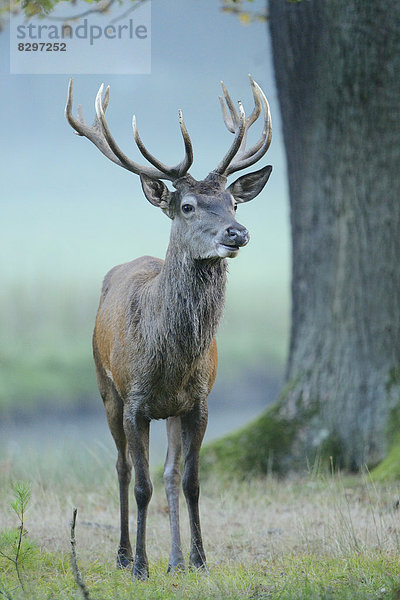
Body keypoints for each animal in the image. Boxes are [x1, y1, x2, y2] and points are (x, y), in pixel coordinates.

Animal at [65, 77, 272, 580]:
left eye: (233, 202)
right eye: (188, 205)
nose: (237, 233)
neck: (170, 361)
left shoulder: (198, 401)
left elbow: (191, 481)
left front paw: (199, 559)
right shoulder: (135, 400)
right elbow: (141, 485)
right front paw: (140, 565)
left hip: (170, 412)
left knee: (171, 474)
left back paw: (175, 560)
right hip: (104, 386)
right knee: (122, 468)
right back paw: (123, 554)